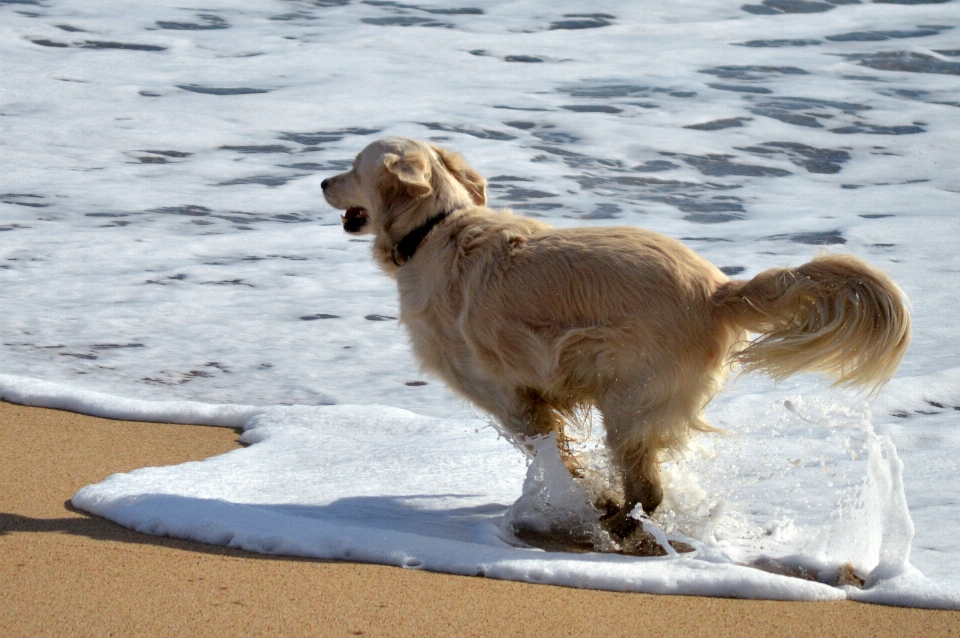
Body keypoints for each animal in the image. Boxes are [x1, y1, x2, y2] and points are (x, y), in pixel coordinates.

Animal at [320, 136, 908, 540]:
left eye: (351, 166)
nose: (322, 182)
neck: (435, 229)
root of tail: (717, 290)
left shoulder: (509, 398)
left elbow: (552, 455)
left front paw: (575, 494)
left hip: (628, 402)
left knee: (646, 488)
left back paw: (613, 524)